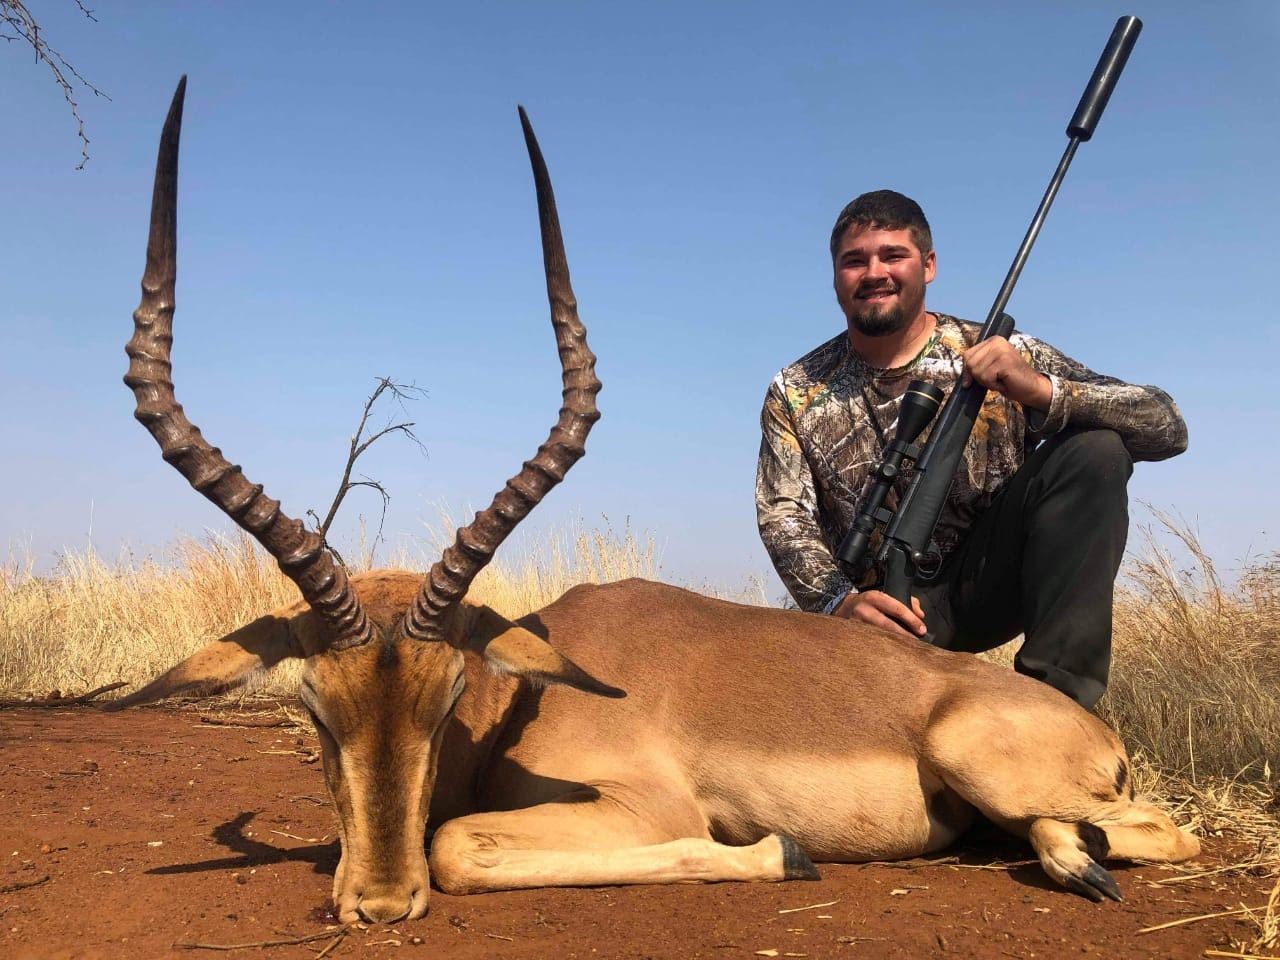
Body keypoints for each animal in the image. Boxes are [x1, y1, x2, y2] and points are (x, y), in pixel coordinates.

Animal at [112, 78, 1200, 927]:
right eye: (311, 704)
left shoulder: (646, 811)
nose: (378, 902)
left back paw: (1079, 858)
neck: (531, 699)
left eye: (452, 691)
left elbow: (459, 846)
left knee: (1159, 831)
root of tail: (1081, 725)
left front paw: (781, 854)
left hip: (985, 757)